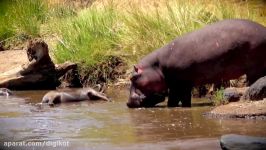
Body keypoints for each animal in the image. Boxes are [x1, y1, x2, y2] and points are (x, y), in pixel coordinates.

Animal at [127, 19, 266, 108]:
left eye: (132, 77)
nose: (128, 103)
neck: (156, 66)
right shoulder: (185, 84)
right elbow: (185, 100)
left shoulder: (178, 84)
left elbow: (172, 101)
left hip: (254, 67)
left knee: (253, 80)